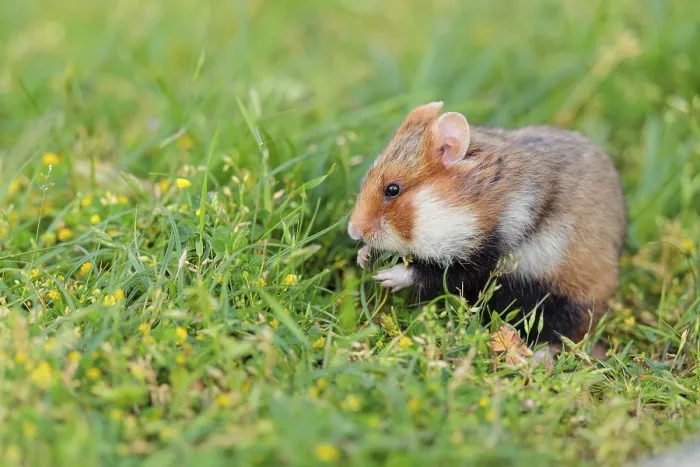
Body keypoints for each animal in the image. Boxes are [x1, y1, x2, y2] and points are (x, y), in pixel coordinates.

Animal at [348, 101, 626, 349]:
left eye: (392, 189)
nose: (352, 231)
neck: (476, 201)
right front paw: (363, 257)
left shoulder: (487, 253)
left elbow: (435, 273)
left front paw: (385, 277)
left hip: (569, 296)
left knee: (563, 332)